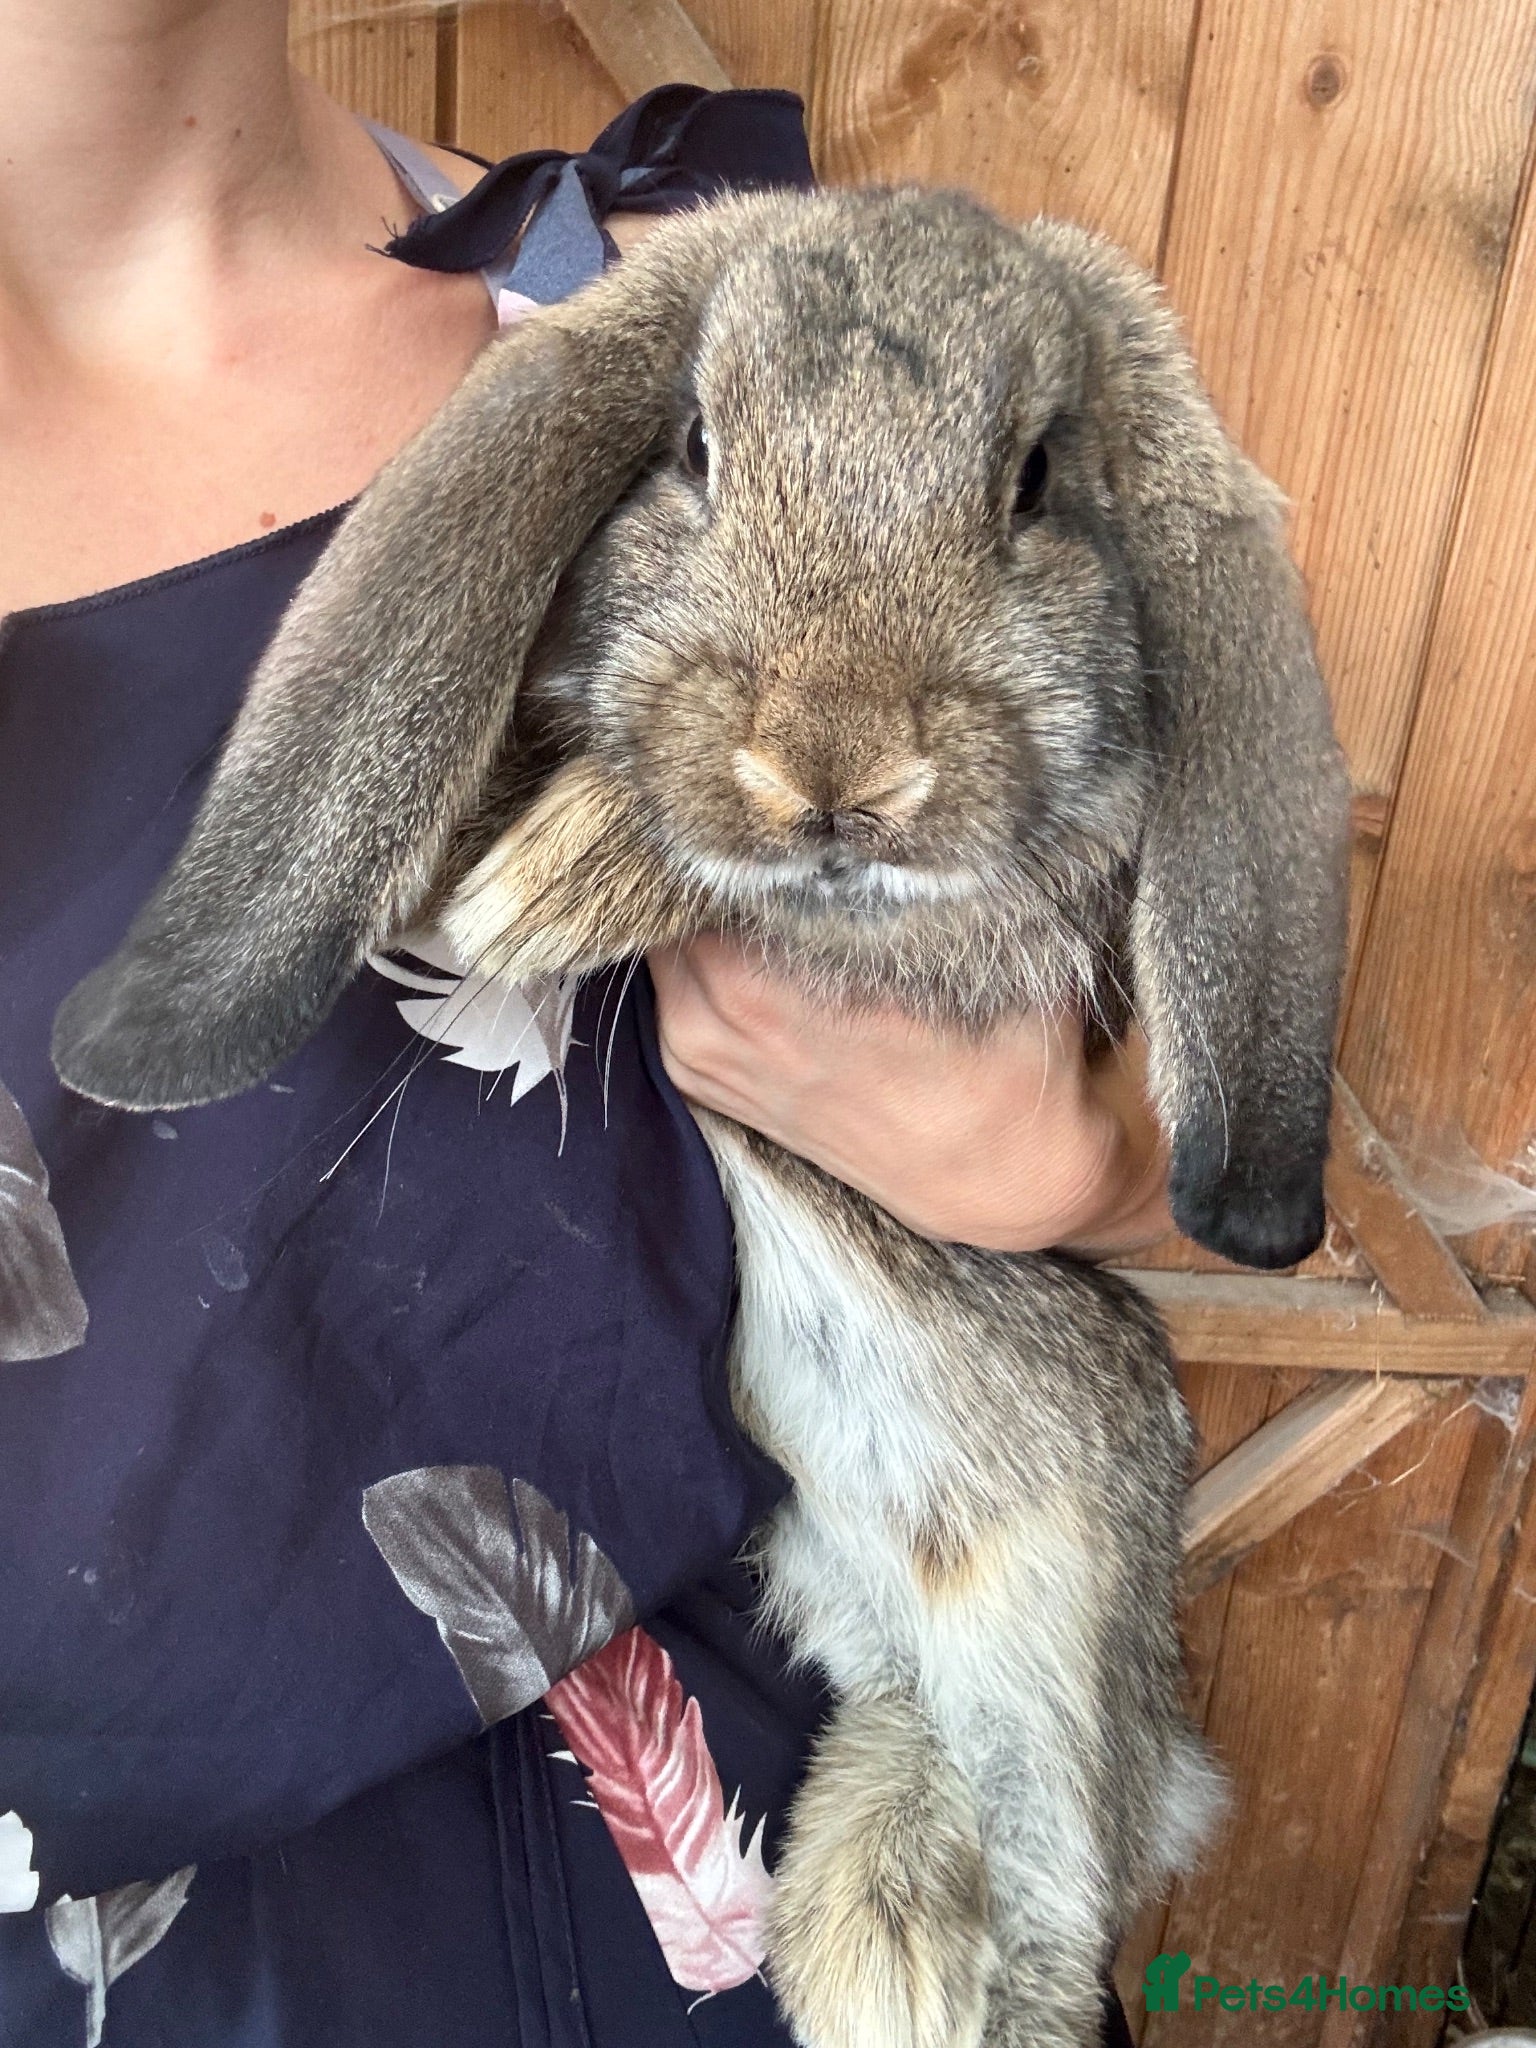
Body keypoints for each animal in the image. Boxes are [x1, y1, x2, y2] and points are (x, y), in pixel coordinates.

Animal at [53, 186, 1352, 2048]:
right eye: (693, 449)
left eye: (1035, 480)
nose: (830, 760)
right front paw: (532, 869)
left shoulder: (998, 909)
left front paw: (545, 890)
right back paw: (869, 1937)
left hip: (1053, 1658)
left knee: (1051, 1907)